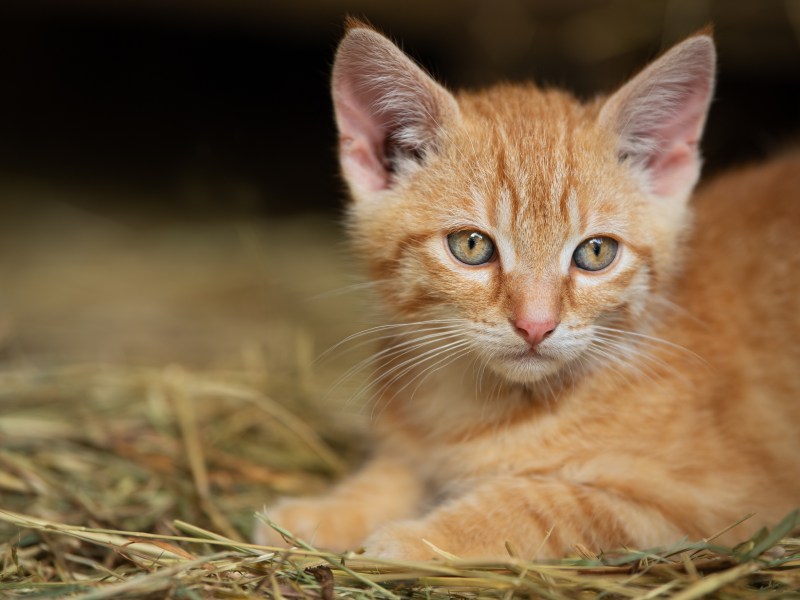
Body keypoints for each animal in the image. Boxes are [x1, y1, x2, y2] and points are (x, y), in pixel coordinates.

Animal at [255, 21, 800, 560]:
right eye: (471, 245)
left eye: (596, 252)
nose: (536, 325)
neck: (477, 406)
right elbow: (392, 474)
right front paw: (319, 513)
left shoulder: (708, 509)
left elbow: (542, 507)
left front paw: (420, 539)